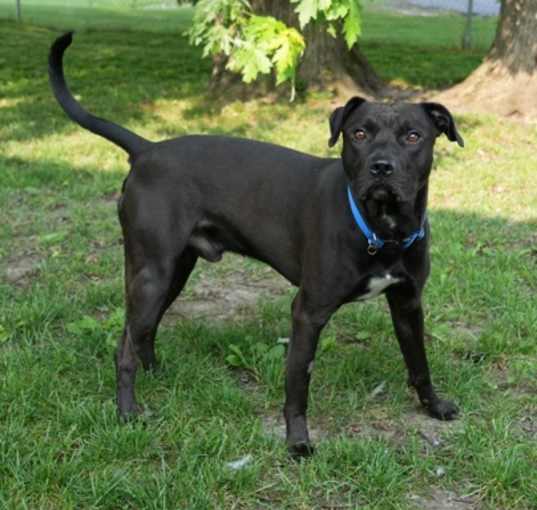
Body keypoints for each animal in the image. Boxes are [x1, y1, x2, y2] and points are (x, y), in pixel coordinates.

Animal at [48, 32, 462, 458]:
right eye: (359, 134)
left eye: (413, 136)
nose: (381, 167)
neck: (382, 230)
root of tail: (146, 150)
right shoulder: (308, 312)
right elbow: (298, 383)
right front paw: (297, 440)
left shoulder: (408, 304)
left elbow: (419, 363)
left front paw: (433, 406)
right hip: (152, 275)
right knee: (125, 347)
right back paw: (128, 410)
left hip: (173, 273)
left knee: (142, 332)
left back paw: (157, 374)